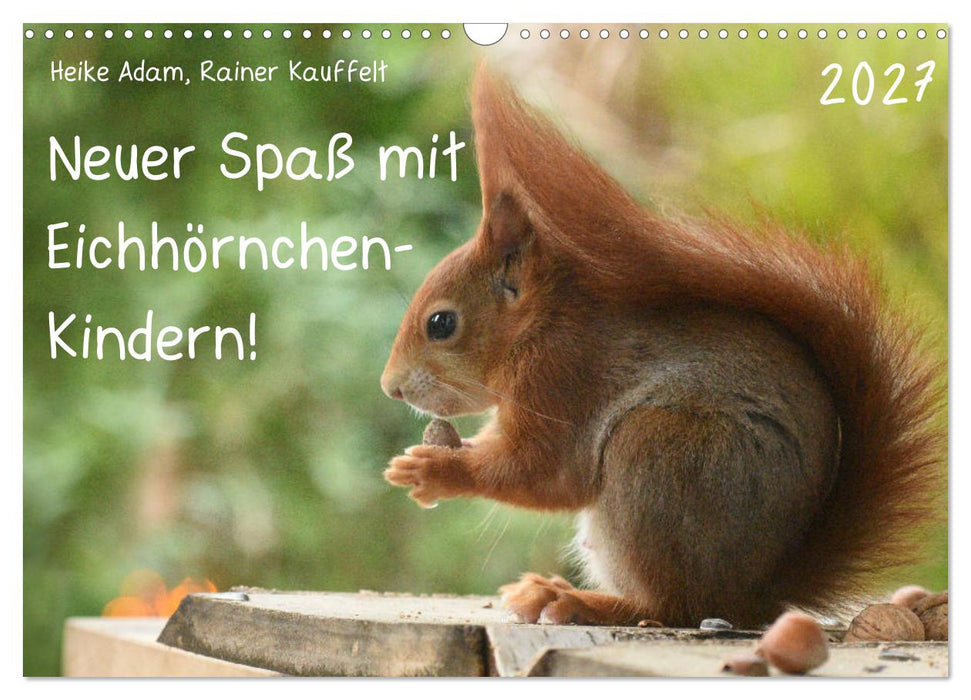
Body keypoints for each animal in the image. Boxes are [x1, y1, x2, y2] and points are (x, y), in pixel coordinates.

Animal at [380, 67, 944, 628]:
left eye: (441, 323)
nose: (391, 389)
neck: (539, 328)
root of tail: (754, 593)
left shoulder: (561, 380)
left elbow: (540, 472)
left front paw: (432, 470)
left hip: (658, 457)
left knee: (675, 606)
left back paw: (580, 601)